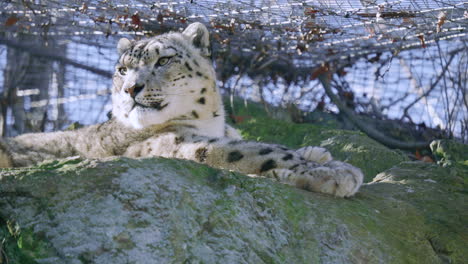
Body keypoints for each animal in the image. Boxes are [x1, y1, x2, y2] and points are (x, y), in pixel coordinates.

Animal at [0, 22, 362, 197]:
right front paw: (336, 173)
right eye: (121, 70)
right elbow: (256, 150)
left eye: (163, 60)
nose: (131, 88)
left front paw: (318, 153)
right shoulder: (176, 145)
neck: (211, 123)